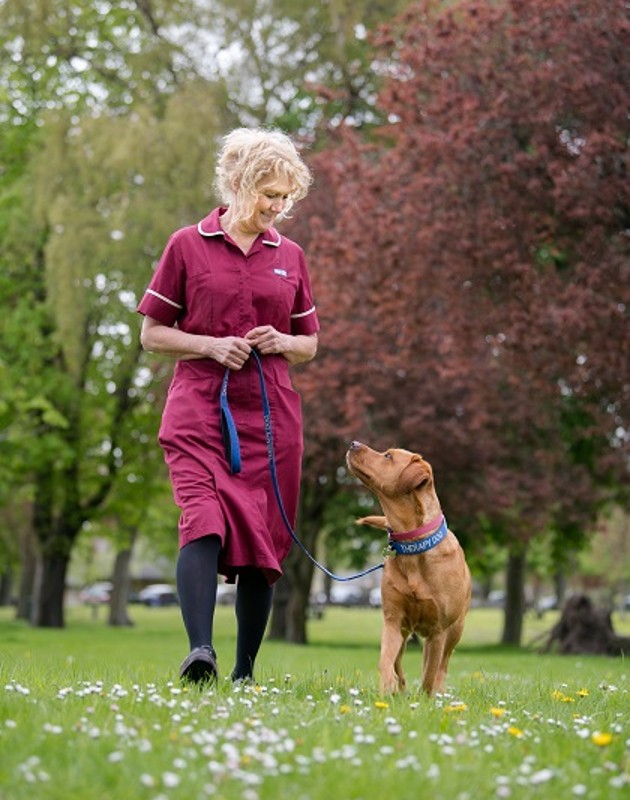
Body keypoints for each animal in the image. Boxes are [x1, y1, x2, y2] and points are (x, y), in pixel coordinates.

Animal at [346, 440, 474, 696]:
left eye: (388, 456)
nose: (353, 443)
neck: (412, 546)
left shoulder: (438, 629)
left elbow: (429, 674)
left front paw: (426, 699)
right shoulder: (393, 620)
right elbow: (386, 660)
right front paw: (387, 689)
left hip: (456, 629)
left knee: (442, 664)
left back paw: (438, 691)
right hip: (406, 631)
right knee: (400, 660)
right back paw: (401, 689)